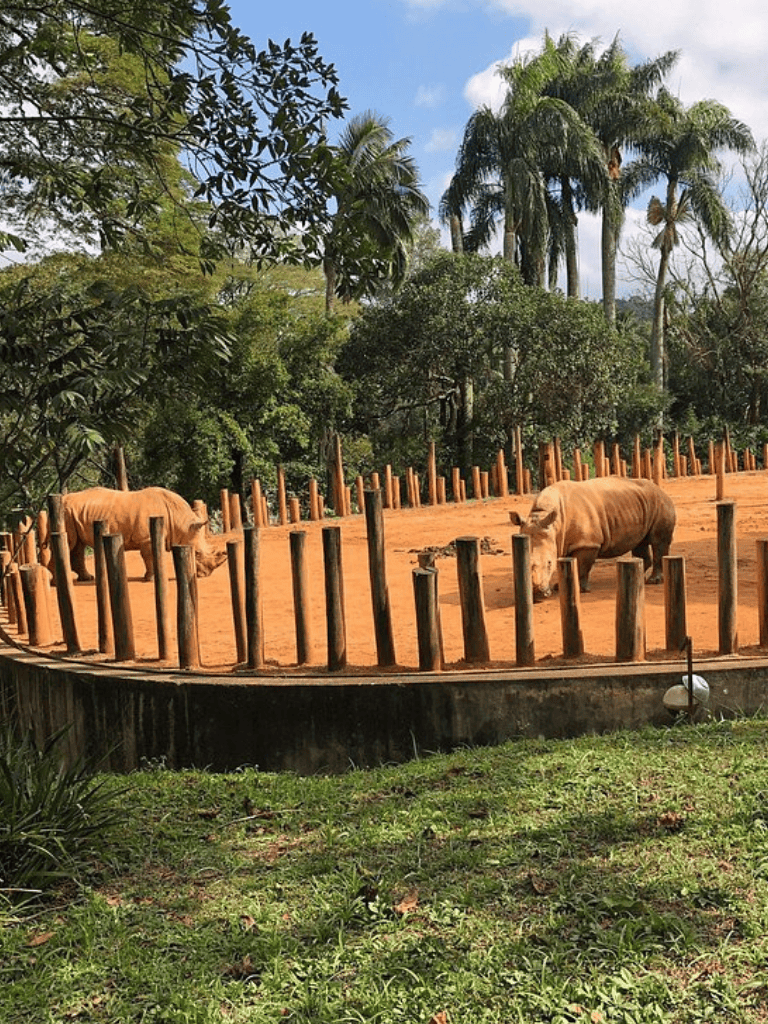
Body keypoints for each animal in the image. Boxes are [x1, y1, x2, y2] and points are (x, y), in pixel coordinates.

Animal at [60, 486, 232, 581]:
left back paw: (86, 578)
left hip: (74, 513)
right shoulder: (147, 538)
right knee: (69, 543)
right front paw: (152, 579)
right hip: (65, 513)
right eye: (196, 554)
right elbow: (149, 556)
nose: (205, 575)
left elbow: (155, 555)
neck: (180, 522)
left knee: (78, 545)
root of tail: (63, 498)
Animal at [509, 477, 676, 602]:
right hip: (639, 504)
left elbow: (581, 566)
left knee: (658, 541)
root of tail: (659, 489)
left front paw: (580, 589)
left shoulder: (587, 543)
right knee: (640, 542)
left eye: (550, 564)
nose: (537, 594)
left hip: (660, 503)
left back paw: (653, 581)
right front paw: (559, 586)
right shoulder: (562, 540)